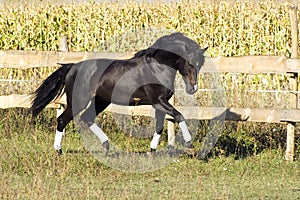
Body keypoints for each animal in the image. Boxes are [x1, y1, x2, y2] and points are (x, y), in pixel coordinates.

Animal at [29, 32, 207, 155]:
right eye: (190, 62)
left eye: (200, 64)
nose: (193, 88)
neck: (156, 67)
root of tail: (72, 66)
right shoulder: (158, 101)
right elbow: (179, 116)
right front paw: (190, 144)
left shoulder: (159, 104)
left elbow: (159, 126)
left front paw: (151, 151)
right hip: (78, 100)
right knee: (62, 120)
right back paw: (58, 150)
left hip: (101, 100)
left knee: (87, 118)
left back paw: (106, 146)